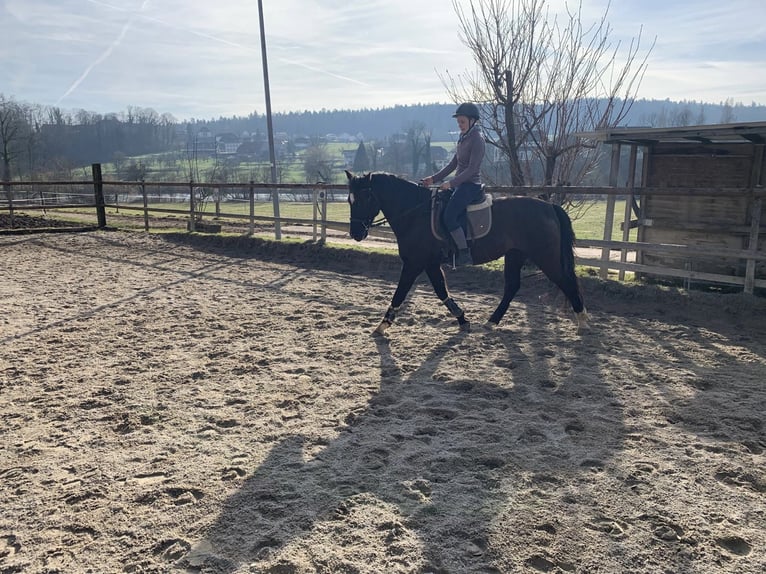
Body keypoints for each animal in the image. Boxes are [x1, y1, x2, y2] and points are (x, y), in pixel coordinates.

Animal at [344, 169, 592, 336]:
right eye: (349, 199)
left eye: (366, 198)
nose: (356, 233)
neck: (415, 213)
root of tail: (549, 207)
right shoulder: (429, 264)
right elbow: (441, 291)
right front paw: (462, 319)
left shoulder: (414, 263)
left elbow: (400, 293)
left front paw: (382, 325)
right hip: (514, 255)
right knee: (512, 287)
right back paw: (492, 321)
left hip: (545, 257)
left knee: (566, 282)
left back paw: (582, 322)